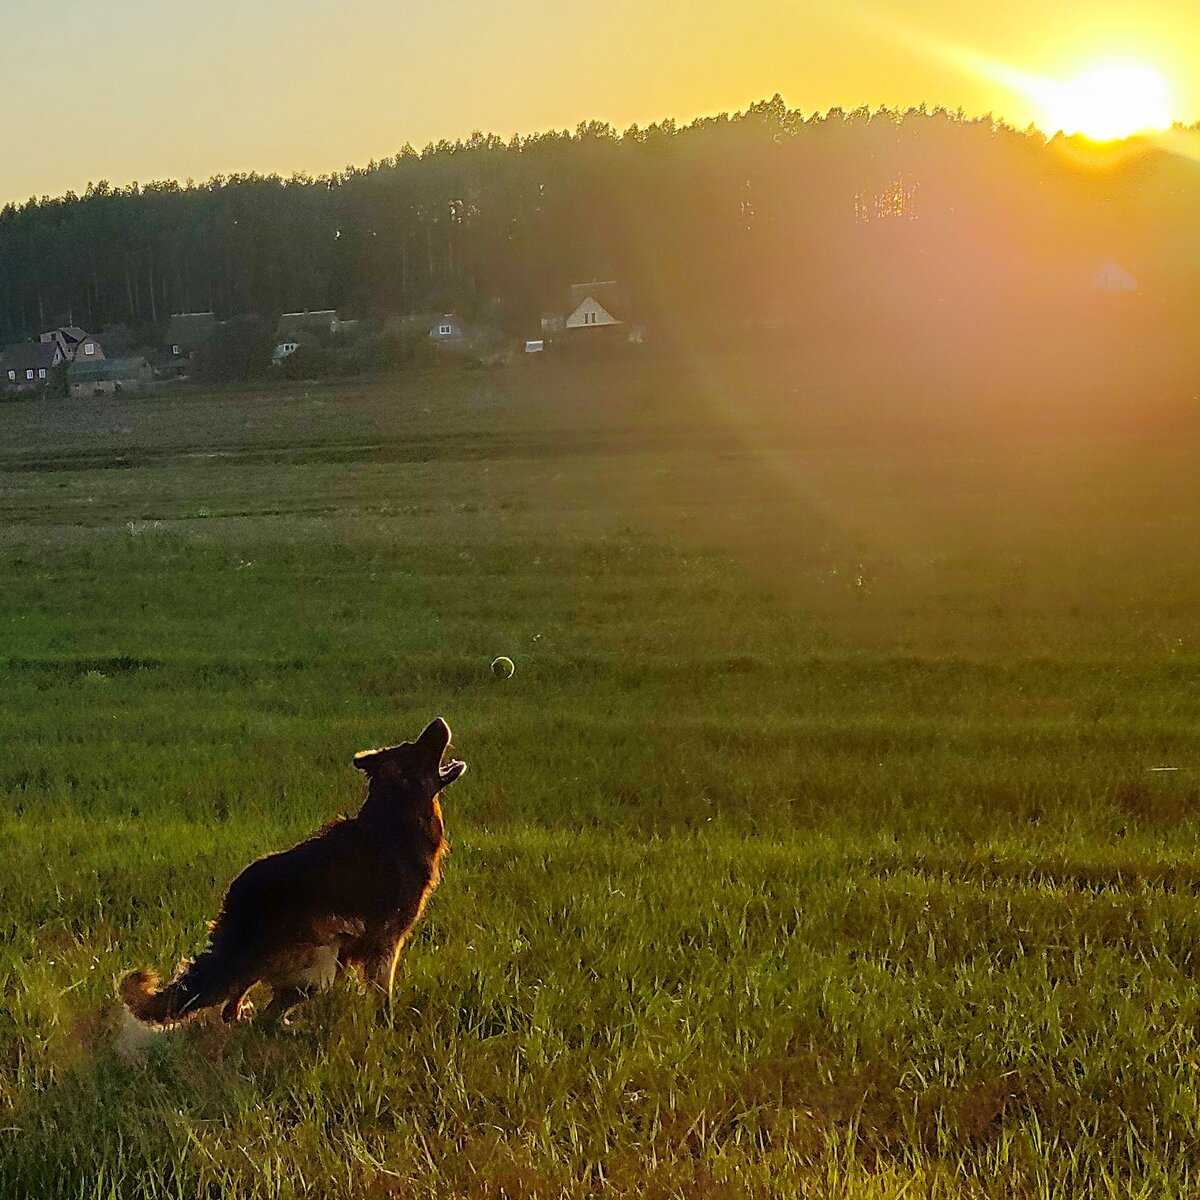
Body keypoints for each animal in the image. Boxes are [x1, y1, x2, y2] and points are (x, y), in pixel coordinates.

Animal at [118, 715, 463, 1027]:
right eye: (418, 748)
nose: (439, 720)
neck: (395, 813)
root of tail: (242, 916)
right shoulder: (385, 943)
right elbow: (383, 996)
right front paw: (387, 1027)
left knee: (235, 1001)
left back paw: (245, 1016)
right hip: (321, 966)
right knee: (268, 1015)